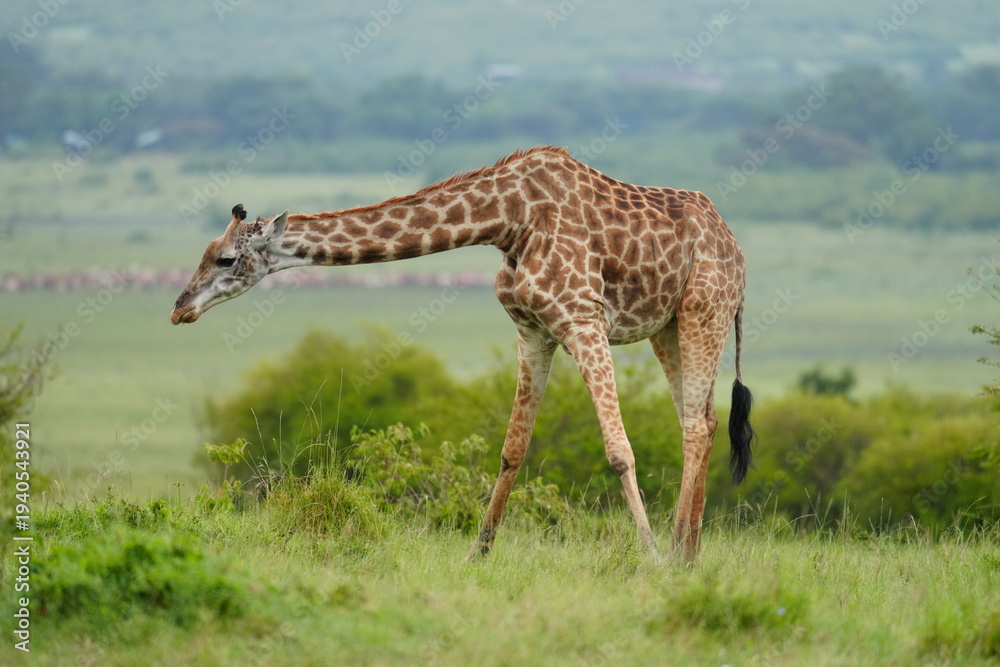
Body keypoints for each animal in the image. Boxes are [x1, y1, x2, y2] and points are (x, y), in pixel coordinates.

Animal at [171, 146, 754, 564]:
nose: (179, 309)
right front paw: (478, 553)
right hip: (667, 327)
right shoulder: (533, 330)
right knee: (702, 418)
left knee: (695, 424)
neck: (509, 219)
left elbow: (619, 450)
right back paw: (690, 554)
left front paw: (649, 558)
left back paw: (675, 553)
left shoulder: (583, 319)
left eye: (225, 259)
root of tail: (737, 250)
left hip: (703, 310)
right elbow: (513, 450)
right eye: (204, 253)